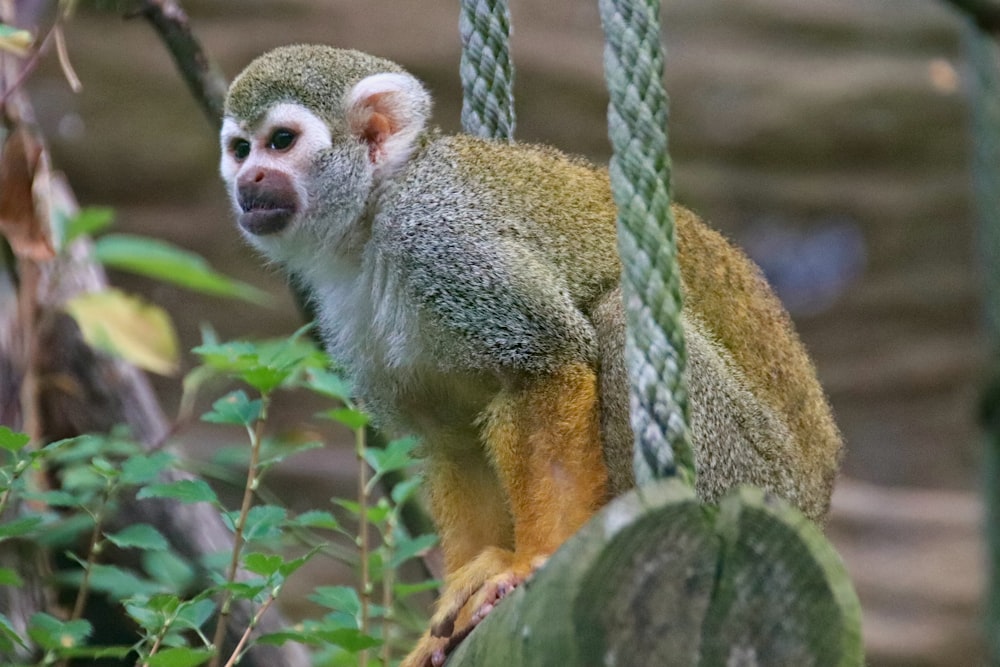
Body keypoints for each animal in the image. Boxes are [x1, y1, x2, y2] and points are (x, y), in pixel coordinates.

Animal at [221, 45, 844, 667]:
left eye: (281, 141)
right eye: (241, 148)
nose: (249, 178)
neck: (372, 221)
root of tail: (815, 508)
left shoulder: (442, 240)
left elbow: (549, 360)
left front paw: (530, 562)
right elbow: (452, 439)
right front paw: (463, 592)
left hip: (754, 478)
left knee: (616, 315)